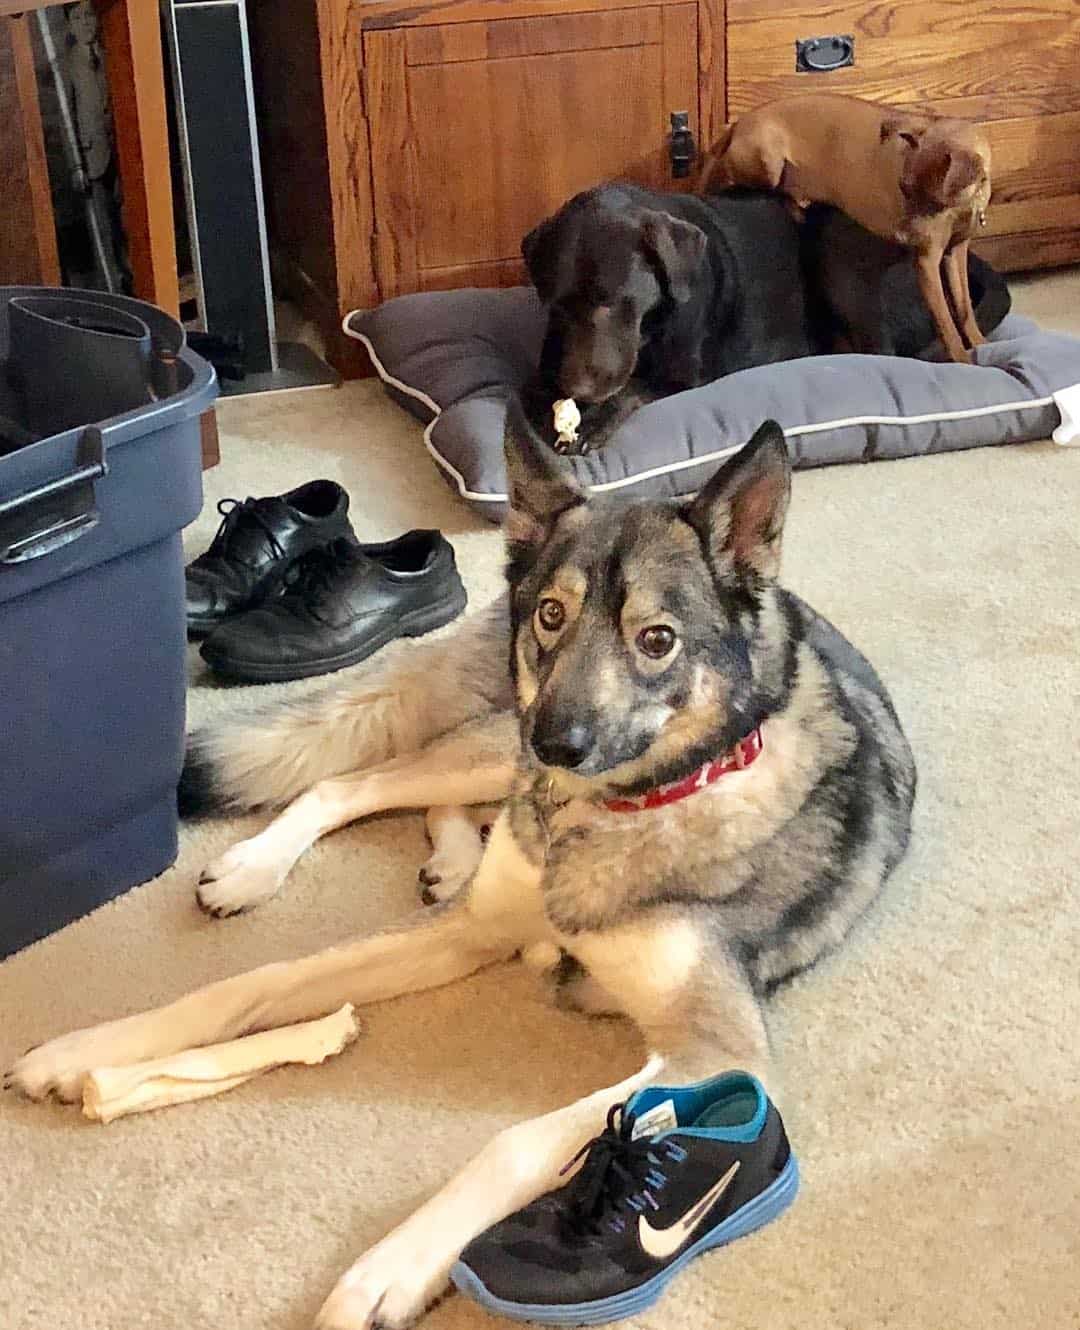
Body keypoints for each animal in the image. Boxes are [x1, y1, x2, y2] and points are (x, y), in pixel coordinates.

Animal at [12, 401, 915, 1330]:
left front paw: (390, 1270)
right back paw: (267, 867)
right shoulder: (467, 930)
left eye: (657, 640)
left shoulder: (717, 1052)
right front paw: (88, 1047)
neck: (603, 816)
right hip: (493, 740)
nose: (556, 746)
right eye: (552, 615)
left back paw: (448, 858)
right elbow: (254, 983)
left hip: (498, 756)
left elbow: (516, 1141)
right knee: (359, 780)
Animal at [518, 182, 813, 452]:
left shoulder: (683, 376)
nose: (579, 390)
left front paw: (594, 420)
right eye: (555, 306)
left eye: (608, 302)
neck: (648, 327)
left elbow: (632, 387)